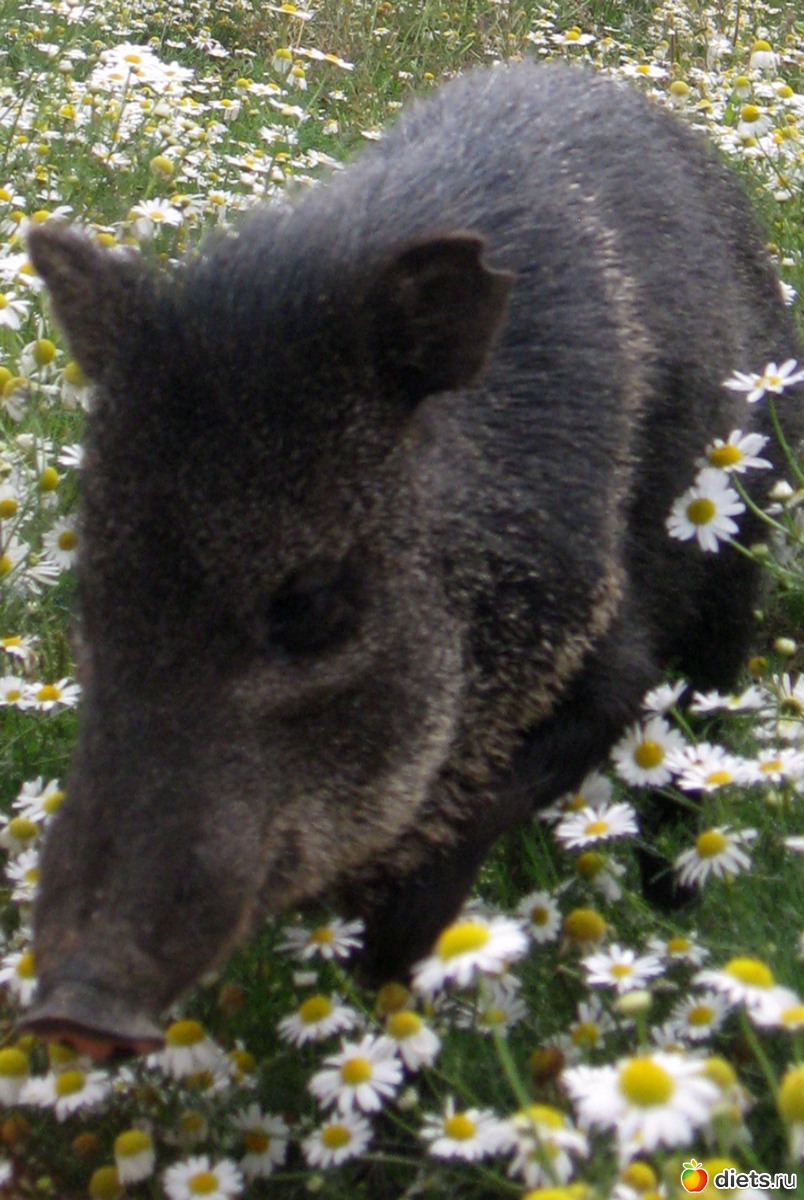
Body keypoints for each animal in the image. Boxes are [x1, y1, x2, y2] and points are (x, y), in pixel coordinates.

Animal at [20, 60, 802, 1056]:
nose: (70, 1011)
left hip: (737, 565)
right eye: (93, 586)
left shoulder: (606, 652)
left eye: (312, 603)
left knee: (694, 755)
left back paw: (674, 913)